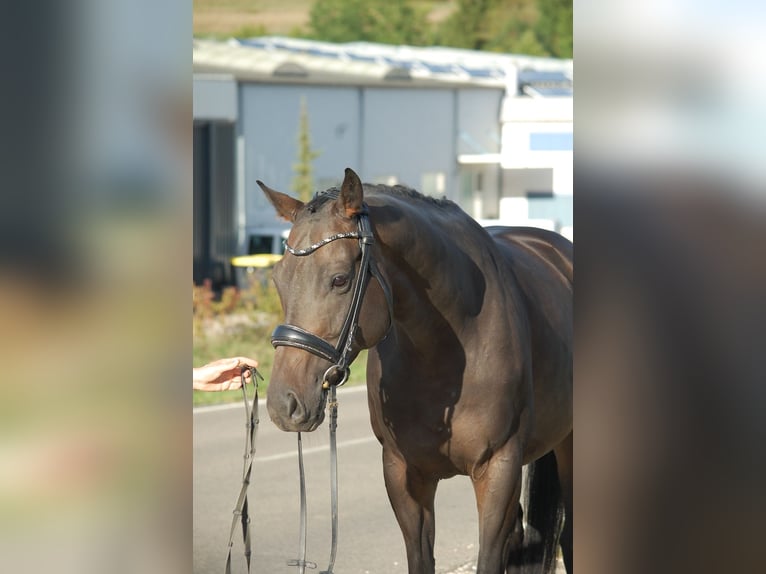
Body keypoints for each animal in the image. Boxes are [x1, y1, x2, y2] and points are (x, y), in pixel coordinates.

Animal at [256, 168, 572, 574]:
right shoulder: (404, 474)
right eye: (278, 279)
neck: (446, 353)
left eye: (340, 279)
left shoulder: (499, 469)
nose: (284, 404)